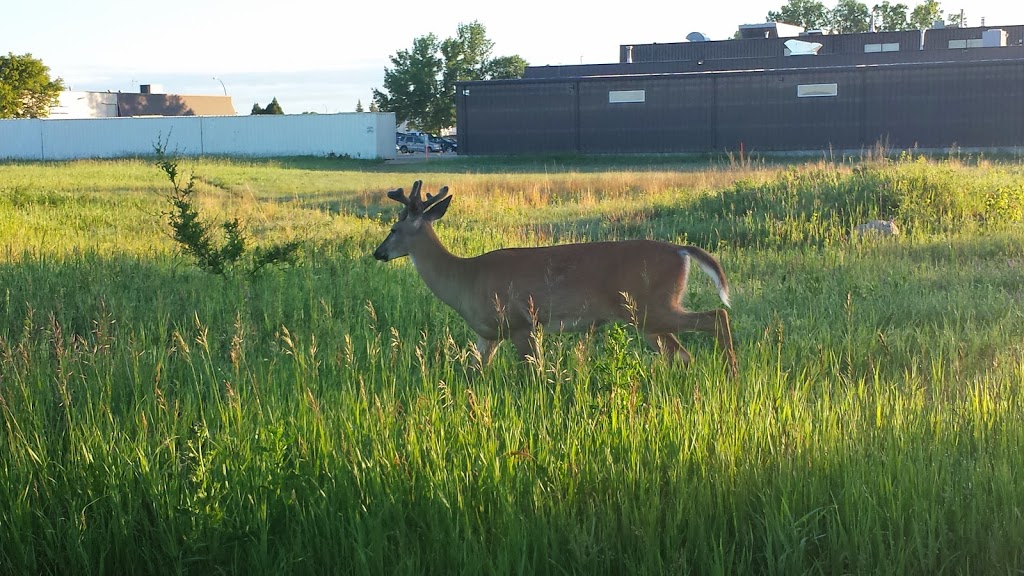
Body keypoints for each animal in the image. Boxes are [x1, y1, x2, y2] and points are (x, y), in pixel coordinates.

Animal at [372, 180, 741, 377]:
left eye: (393, 229)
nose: (378, 253)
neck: (464, 279)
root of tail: (681, 251)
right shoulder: (488, 334)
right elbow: (476, 371)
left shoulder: (522, 322)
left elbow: (533, 373)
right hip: (646, 316)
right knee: (681, 353)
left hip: (651, 306)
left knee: (716, 317)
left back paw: (732, 373)